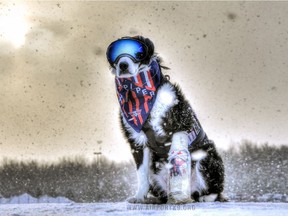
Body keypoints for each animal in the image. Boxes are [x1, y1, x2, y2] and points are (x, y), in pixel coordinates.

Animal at [107, 35, 226, 202]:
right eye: (114, 55)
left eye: (139, 53)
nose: (123, 64)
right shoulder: (137, 141)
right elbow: (141, 174)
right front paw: (139, 197)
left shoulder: (178, 126)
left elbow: (177, 161)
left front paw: (178, 197)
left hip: (207, 156)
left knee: (214, 189)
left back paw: (204, 197)